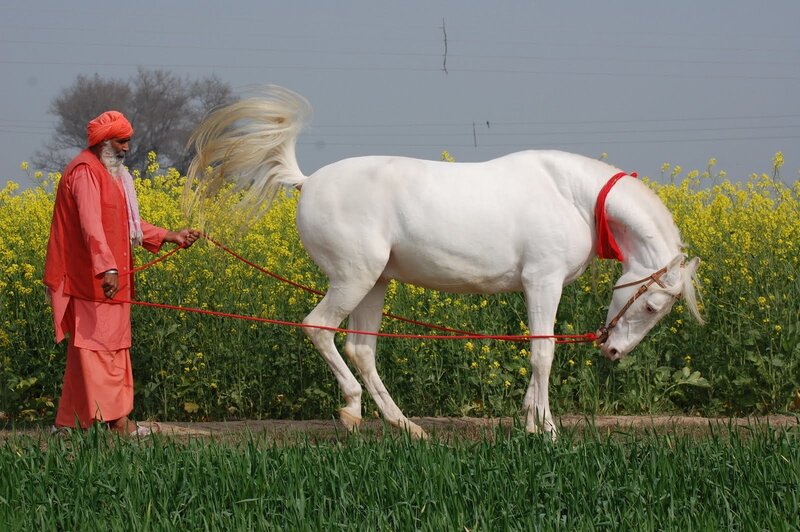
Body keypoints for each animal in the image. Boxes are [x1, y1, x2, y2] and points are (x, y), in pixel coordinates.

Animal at [184, 86, 703, 439]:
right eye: (653, 306)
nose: (612, 351)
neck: (571, 195)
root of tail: (306, 181)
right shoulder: (543, 281)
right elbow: (544, 352)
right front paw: (548, 429)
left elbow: (536, 351)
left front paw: (529, 422)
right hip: (353, 279)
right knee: (319, 328)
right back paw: (352, 411)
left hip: (375, 284)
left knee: (362, 349)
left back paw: (406, 426)